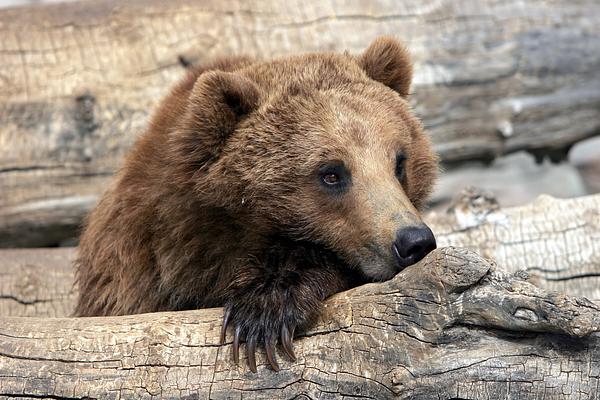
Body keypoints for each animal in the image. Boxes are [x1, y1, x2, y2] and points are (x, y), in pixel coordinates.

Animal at [76, 36, 440, 372]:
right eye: (331, 173)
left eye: (399, 161)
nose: (413, 240)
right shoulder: (136, 274)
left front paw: (264, 309)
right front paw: (261, 313)